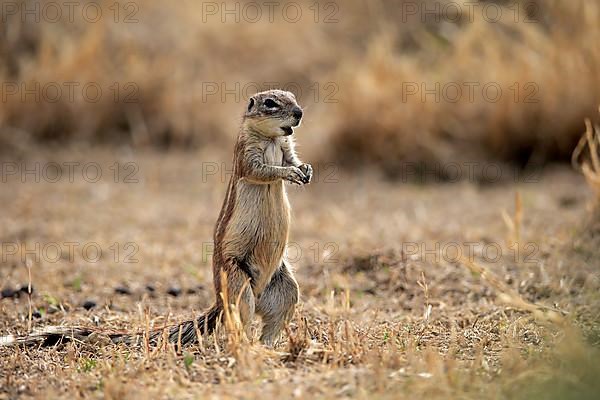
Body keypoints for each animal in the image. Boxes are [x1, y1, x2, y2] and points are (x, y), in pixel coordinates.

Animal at [3, 90, 314, 346]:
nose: (299, 113)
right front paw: (289, 173)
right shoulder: (246, 154)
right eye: (270, 103)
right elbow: (262, 170)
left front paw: (305, 170)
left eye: (293, 96)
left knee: (273, 320)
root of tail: (219, 299)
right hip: (238, 281)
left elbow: (291, 159)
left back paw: (270, 347)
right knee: (238, 321)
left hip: (284, 287)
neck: (271, 138)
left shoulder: (285, 147)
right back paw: (247, 346)